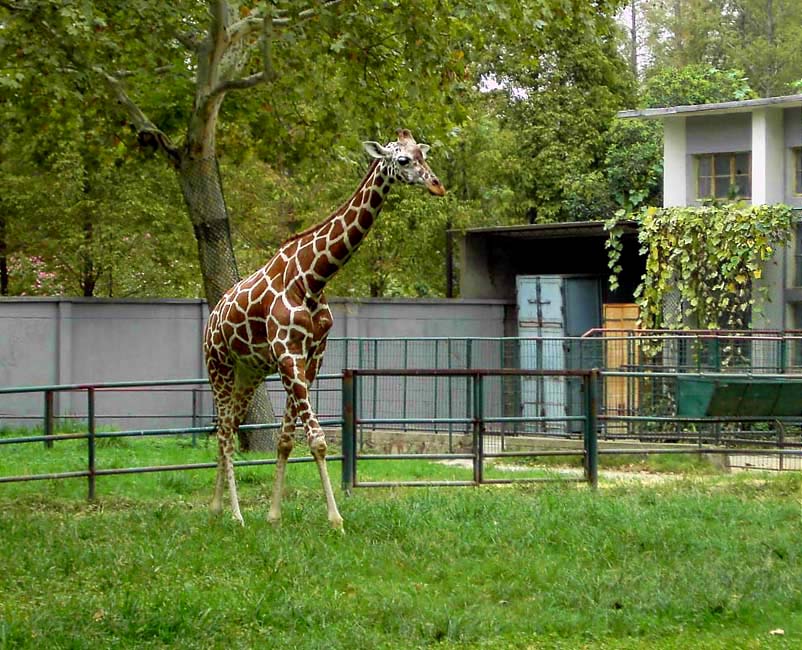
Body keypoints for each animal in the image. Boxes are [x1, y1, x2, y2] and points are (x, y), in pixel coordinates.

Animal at [202, 128, 444, 528]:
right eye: (403, 159)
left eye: (424, 154)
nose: (437, 186)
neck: (312, 279)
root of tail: (211, 318)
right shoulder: (288, 354)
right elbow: (316, 438)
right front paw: (335, 519)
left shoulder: (312, 357)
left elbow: (286, 439)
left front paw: (273, 515)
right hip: (217, 365)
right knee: (223, 433)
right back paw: (235, 515)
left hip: (248, 372)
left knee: (229, 426)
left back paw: (217, 507)